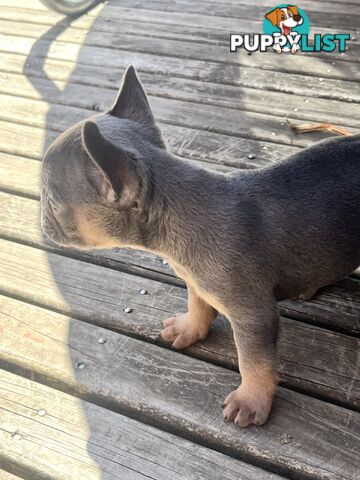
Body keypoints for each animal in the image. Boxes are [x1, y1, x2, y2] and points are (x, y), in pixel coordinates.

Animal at [40, 64, 360, 428]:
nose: (42, 214)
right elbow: (198, 302)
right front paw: (190, 327)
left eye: (53, 201)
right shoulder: (197, 280)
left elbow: (253, 361)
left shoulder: (253, 316)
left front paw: (251, 398)